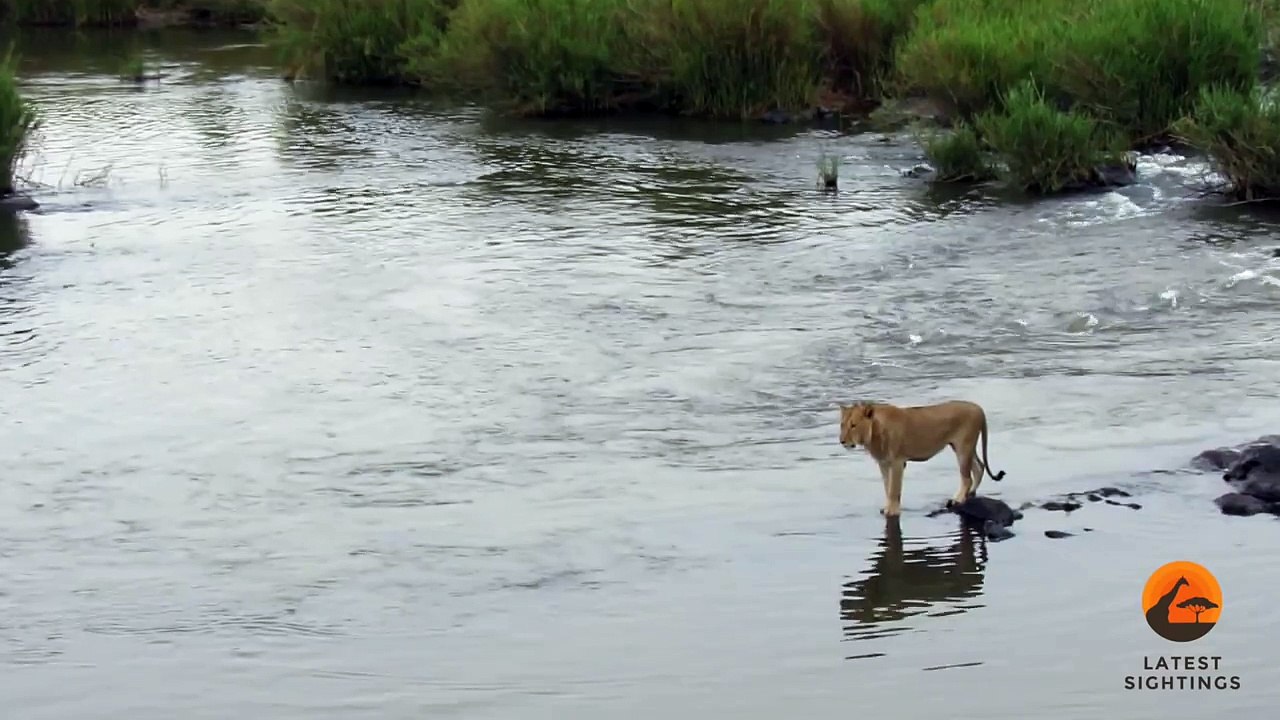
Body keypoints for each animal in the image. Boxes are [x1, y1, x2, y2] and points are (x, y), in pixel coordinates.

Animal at [838, 399, 1007, 517]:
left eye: (853, 425)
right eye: (842, 425)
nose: (842, 441)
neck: (874, 432)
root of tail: (979, 408)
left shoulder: (898, 462)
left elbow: (893, 489)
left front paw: (892, 511)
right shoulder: (884, 463)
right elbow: (887, 486)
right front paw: (888, 507)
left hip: (963, 447)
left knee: (967, 478)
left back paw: (958, 499)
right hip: (963, 447)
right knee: (979, 467)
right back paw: (970, 494)